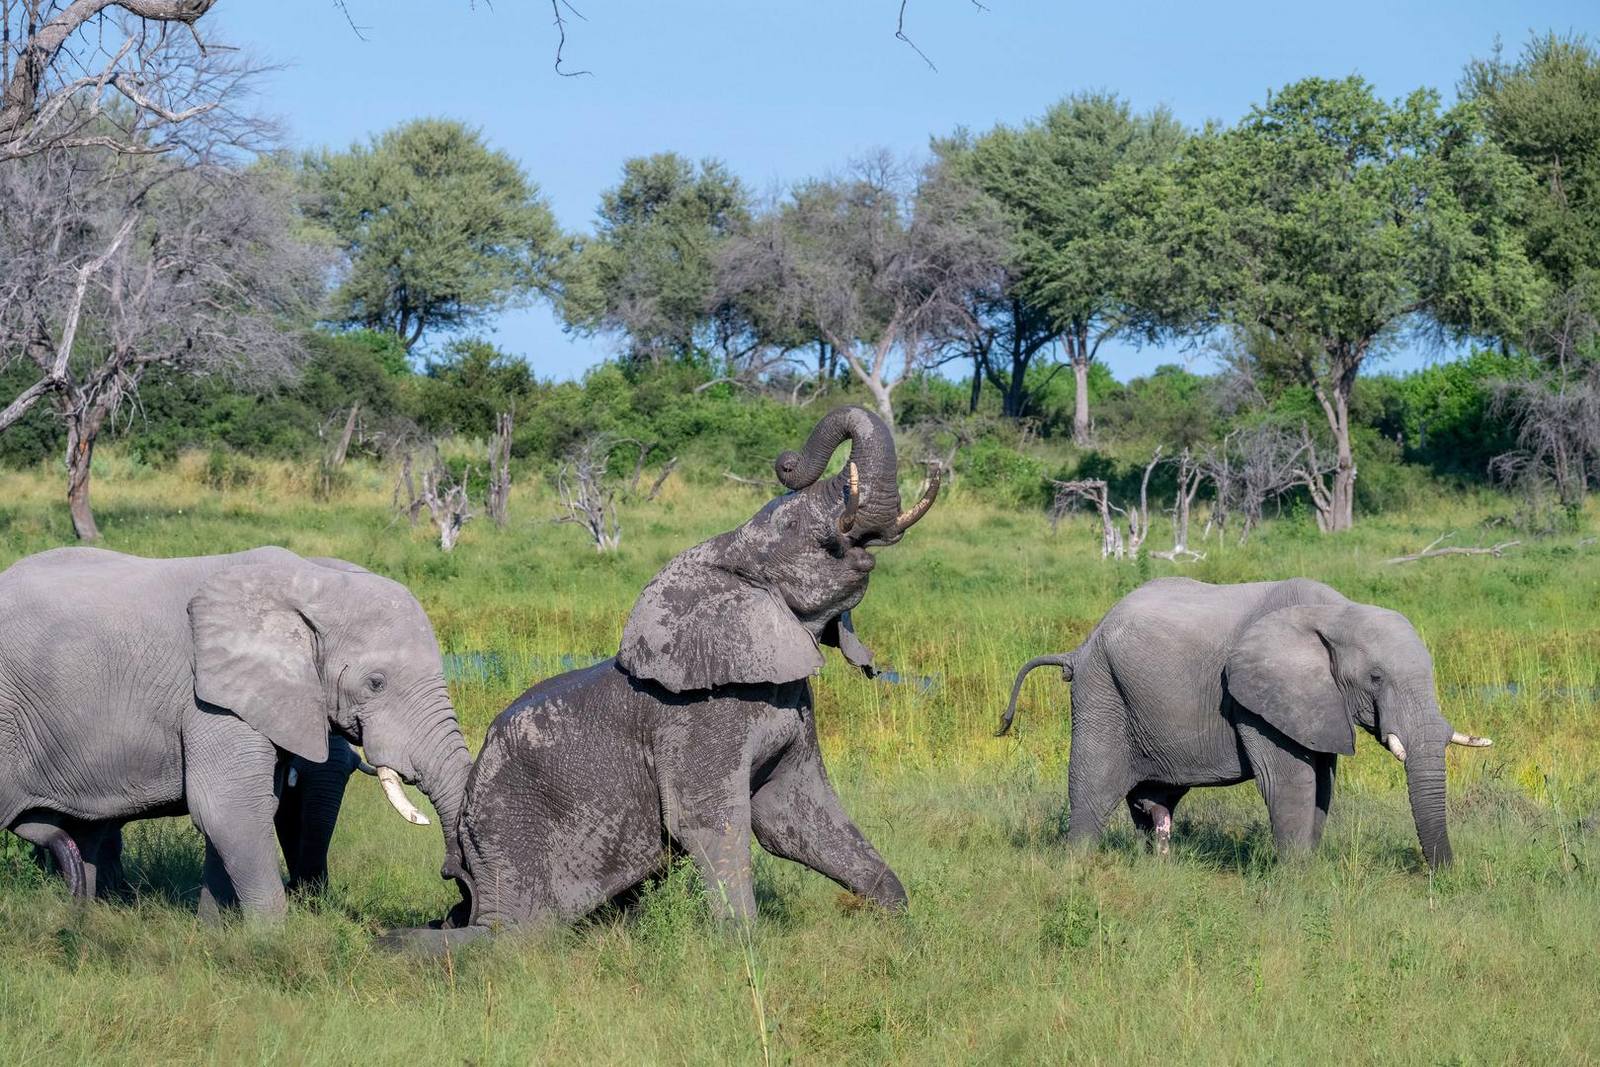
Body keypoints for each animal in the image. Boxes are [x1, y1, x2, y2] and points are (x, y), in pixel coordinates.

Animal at [0, 545, 473, 919]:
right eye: (376, 683)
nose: (454, 881)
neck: (312, 581)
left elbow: (241, 814)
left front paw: (215, 937)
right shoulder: (210, 700)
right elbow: (230, 810)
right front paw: (273, 944)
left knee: (86, 830)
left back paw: (84, 915)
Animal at [385, 406, 939, 950]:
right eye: (799, 529)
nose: (787, 461)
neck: (724, 553)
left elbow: (796, 814)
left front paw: (897, 922)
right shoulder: (697, 722)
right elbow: (708, 821)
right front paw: (744, 948)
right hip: (511, 830)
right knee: (512, 936)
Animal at [999, 577, 1493, 867]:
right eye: (1375, 677)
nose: (1444, 874)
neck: (1338, 612)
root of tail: (1080, 646)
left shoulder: (1317, 703)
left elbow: (1323, 782)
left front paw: (1307, 869)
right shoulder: (1257, 700)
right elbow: (1291, 781)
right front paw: (1298, 881)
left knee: (1149, 803)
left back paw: (1154, 865)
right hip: (1102, 692)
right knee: (1093, 787)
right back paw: (1076, 868)